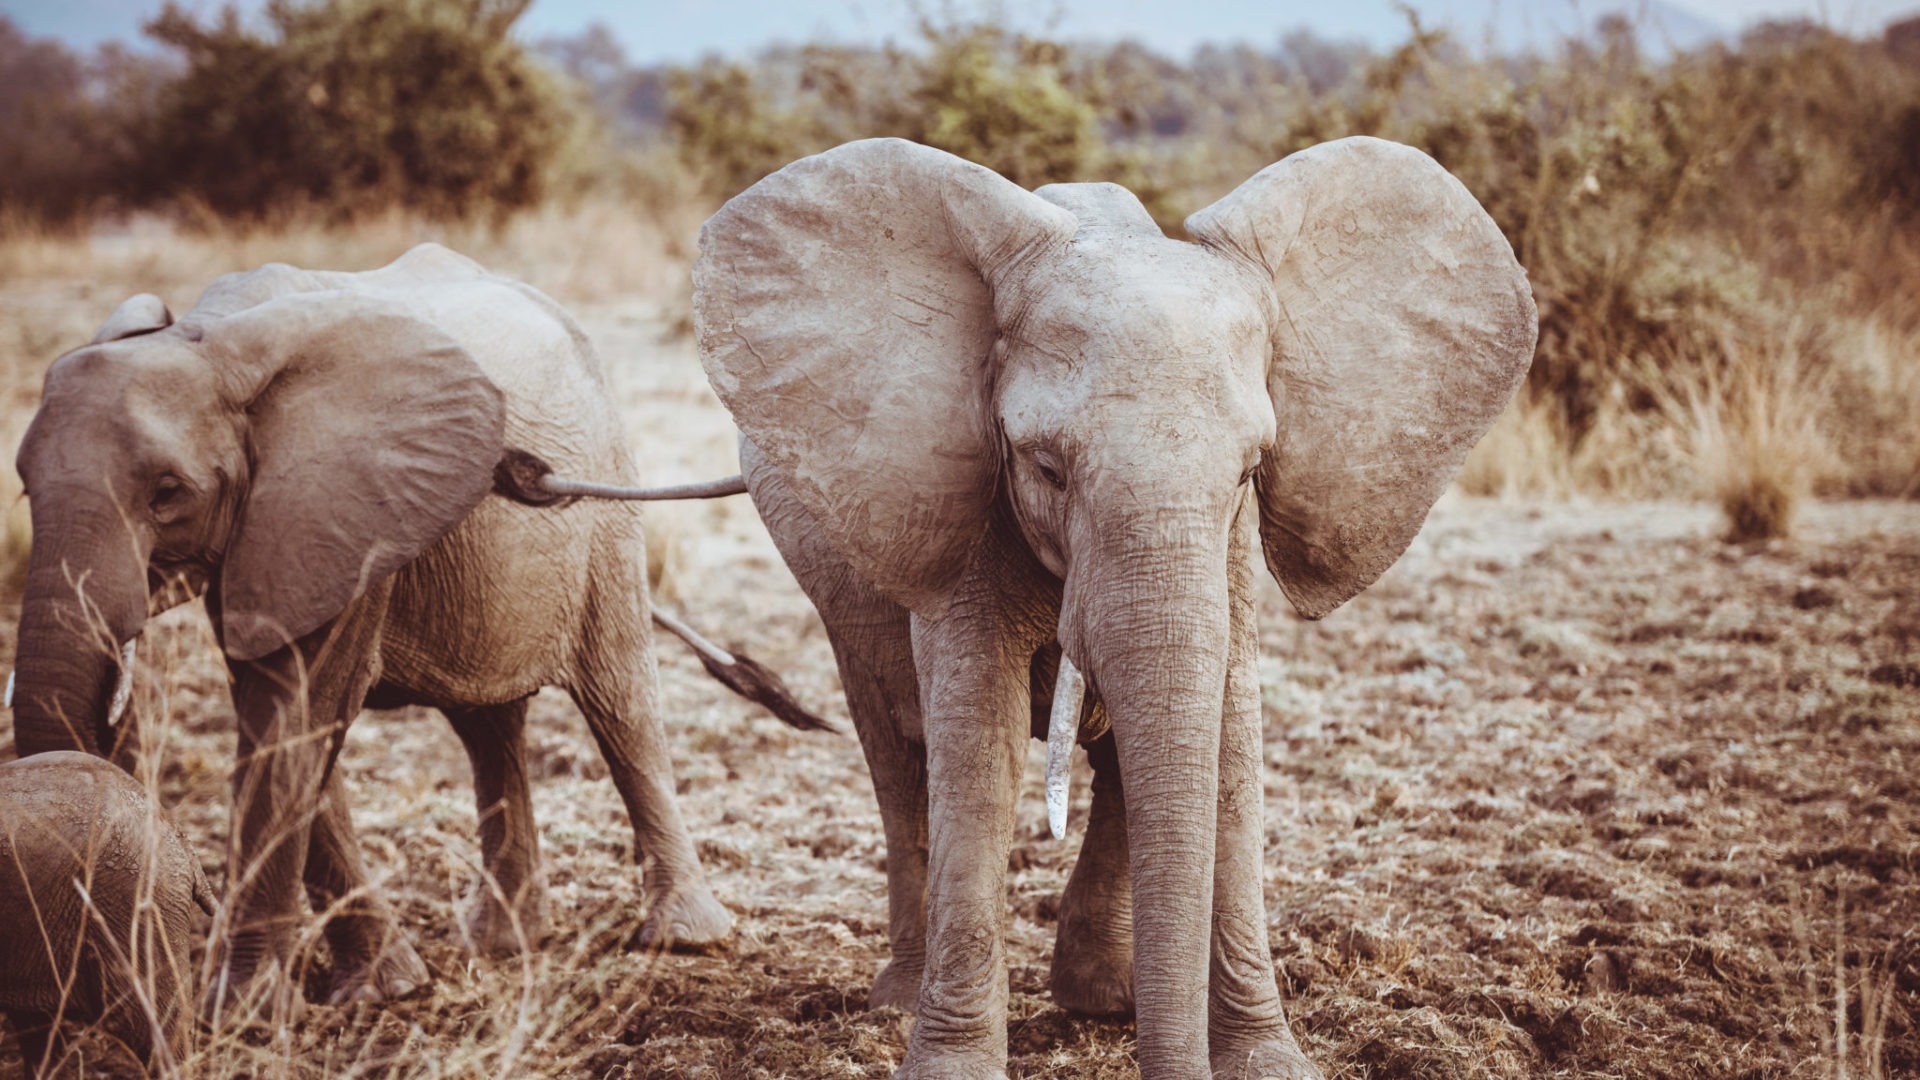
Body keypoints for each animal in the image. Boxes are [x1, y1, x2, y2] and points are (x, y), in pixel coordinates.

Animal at [8, 243, 823, 1022]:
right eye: (23, 487)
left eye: (167, 494)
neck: (207, 342)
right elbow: (290, 729)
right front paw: (384, 992)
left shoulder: (344, 510)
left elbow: (294, 718)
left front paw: (238, 1018)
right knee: (490, 727)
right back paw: (503, 944)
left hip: (608, 510)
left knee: (623, 705)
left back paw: (682, 939)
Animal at [693, 137, 1537, 1078]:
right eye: (1046, 468)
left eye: (1250, 471)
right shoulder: (963, 503)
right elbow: (978, 744)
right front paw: (950, 1065)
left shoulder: (1230, 547)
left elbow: (1226, 738)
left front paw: (1267, 1063)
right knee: (897, 750)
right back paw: (903, 998)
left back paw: (1100, 997)